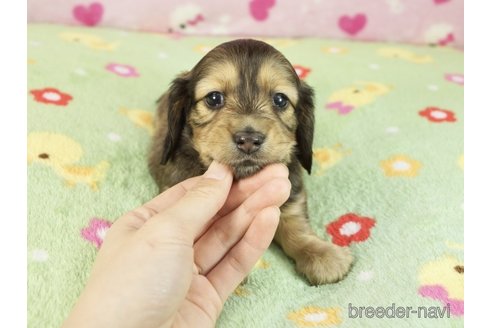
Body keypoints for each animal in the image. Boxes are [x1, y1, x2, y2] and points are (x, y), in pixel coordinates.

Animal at [148, 39, 352, 284]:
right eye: (214, 98)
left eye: (280, 99)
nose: (248, 140)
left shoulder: (291, 189)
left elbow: (295, 224)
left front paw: (322, 254)